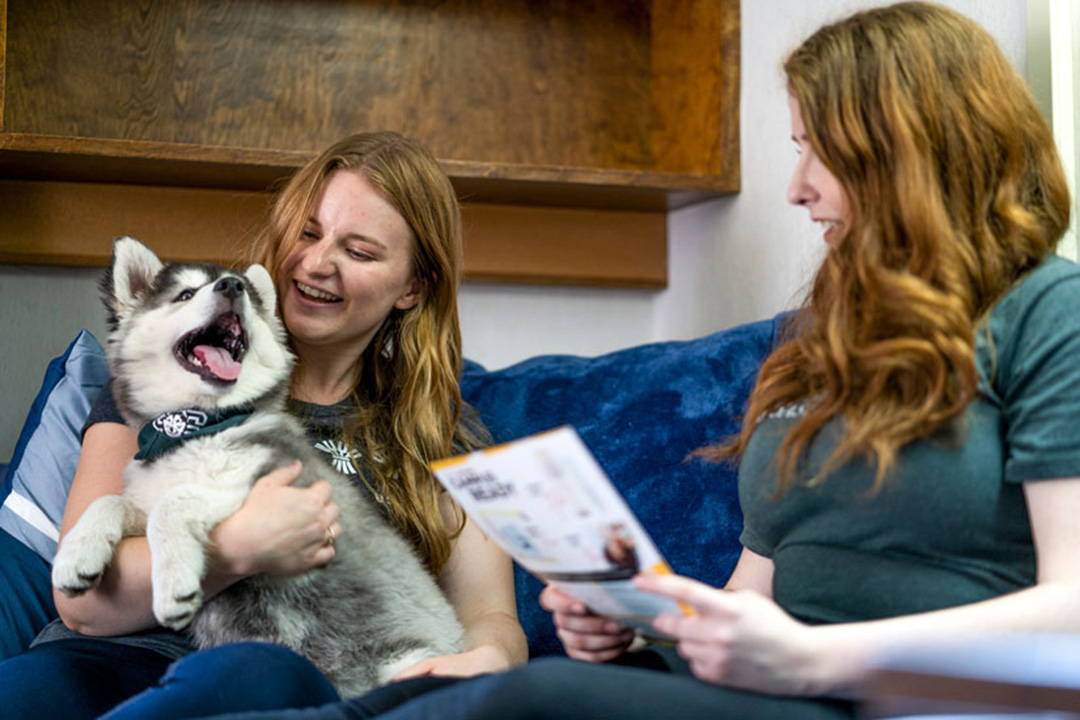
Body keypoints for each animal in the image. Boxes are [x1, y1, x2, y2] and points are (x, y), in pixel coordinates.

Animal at [51, 239, 464, 695]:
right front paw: (76, 554)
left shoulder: (276, 483)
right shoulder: (146, 496)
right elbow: (110, 502)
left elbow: (173, 505)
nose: (232, 286)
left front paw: (174, 582)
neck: (194, 429)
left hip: (411, 662)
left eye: (245, 291)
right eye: (185, 294)